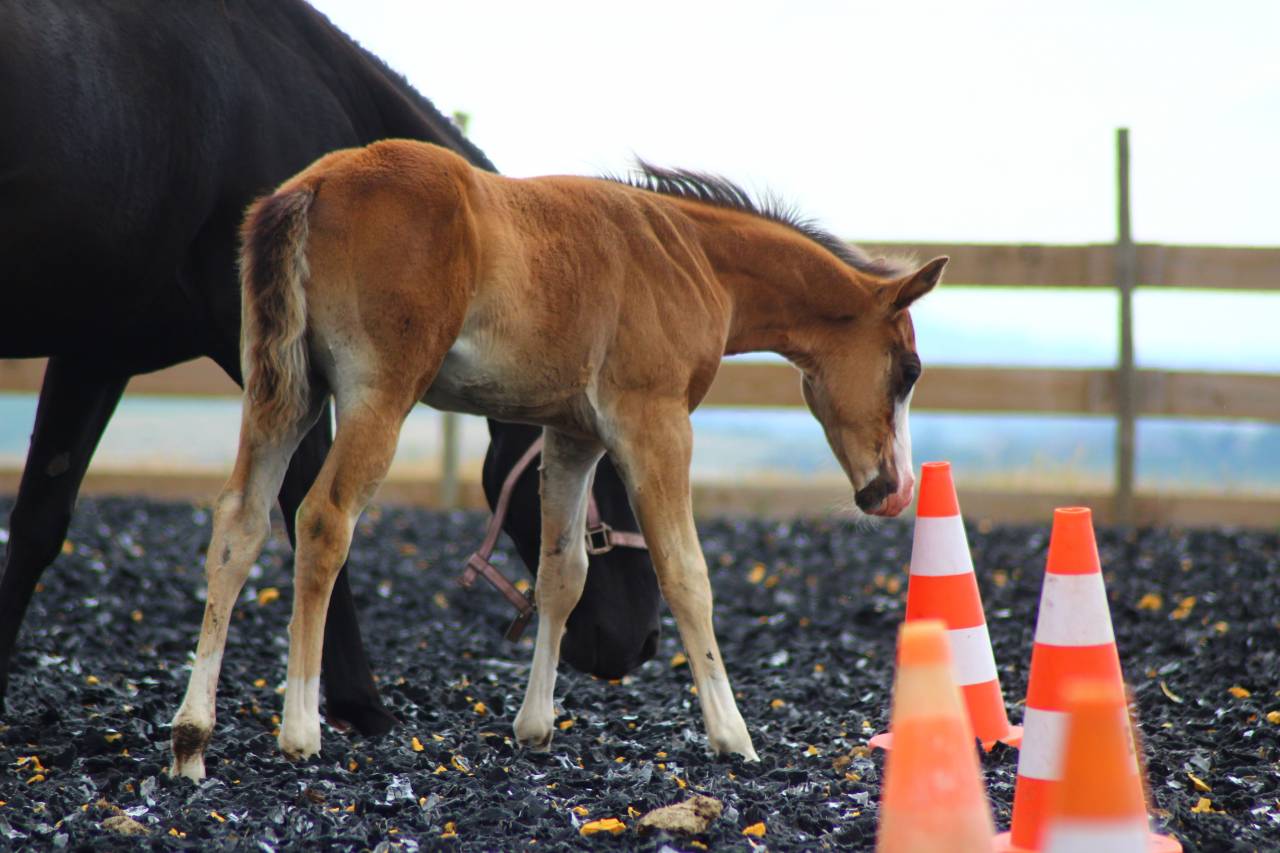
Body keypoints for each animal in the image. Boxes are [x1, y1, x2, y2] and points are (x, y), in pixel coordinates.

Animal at [0, 0, 660, 737]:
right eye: (612, 463)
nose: (645, 642)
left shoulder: (96, 351)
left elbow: (38, 523)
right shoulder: (290, 370)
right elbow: (307, 513)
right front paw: (354, 700)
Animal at [167, 138, 945, 779]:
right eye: (908, 369)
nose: (895, 490)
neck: (691, 256)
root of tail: (313, 187)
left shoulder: (576, 436)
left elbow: (562, 575)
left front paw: (534, 727)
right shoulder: (655, 422)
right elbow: (687, 573)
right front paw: (734, 735)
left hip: (285, 391)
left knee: (240, 523)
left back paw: (192, 737)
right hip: (375, 393)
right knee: (324, 519)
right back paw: (300, 728)